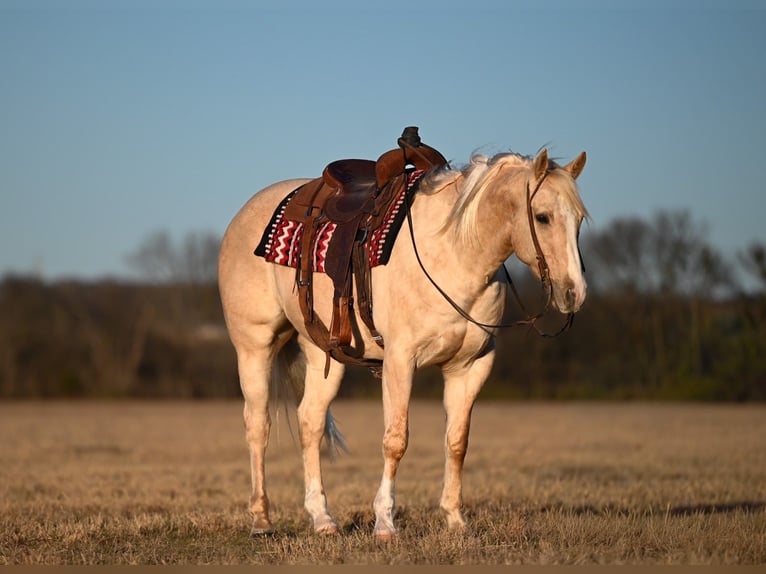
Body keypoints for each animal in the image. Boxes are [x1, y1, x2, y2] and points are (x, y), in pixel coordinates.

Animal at [218, 145, 588, 540]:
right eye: (543, 217)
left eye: (579, 220)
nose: (575, 293)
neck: (454, 255)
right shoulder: (400, 360)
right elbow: (396, 440)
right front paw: (385, 522)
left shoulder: (470, 367)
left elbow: (457, 442)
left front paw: (455, 519)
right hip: (254, 347)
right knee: (258, 425)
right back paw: (261, 520)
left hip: (321, 355)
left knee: (310, 422)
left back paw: (323, 519)